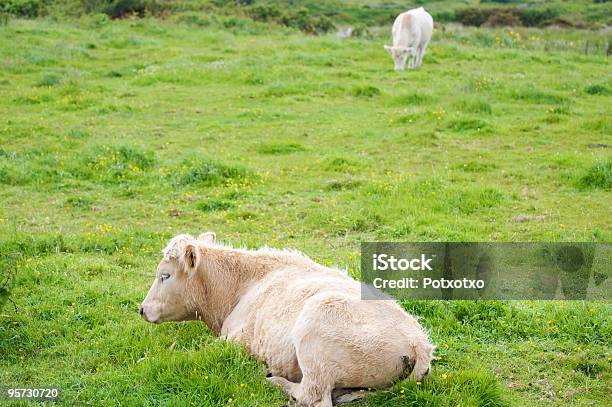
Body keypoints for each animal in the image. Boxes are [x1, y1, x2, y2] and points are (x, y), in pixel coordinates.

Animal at [141, 234, 432, 406]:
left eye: (165, 276)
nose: (142, 310)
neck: (242, 286)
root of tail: (419, 342)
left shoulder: (232, 341)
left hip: (315, 339)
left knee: (313, 396)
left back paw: (273, 380)